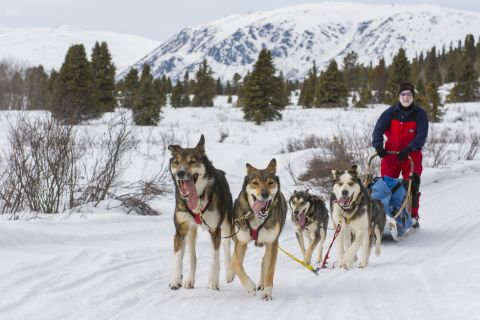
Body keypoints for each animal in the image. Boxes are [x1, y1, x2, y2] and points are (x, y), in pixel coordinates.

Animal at [168, 135, 233, 290]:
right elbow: (178, 257)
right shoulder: (180, 230)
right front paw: (175, 279)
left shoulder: (214, 229)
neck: (197, 198)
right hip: (190, 231)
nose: (180, 173)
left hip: (227, 224)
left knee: (226, 245)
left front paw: (213, 281)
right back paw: (188, 279)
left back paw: (230, 272)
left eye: (192, 161)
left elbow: (215, 259)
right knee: (192, 255)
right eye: (176, 162)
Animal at [227, 159, 286, 302]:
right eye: (255, 183)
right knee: (235, 258)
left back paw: (262, 284)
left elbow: (270, 269)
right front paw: (249, 286)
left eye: (270, 183)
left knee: (264, 261)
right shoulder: (241, 242)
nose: (265, 194)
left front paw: (267, 293)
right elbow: (238, 264)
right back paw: (230, 274)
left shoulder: (272, 243)